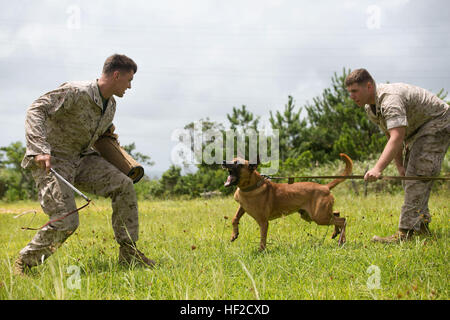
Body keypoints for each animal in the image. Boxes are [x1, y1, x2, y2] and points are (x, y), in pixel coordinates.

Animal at [223, 154, 354, 251]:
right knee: (337, 213)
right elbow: (234, 218)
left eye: (238, 164)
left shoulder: (263, 222)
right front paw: (234, 234)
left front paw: (261, 251)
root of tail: (325, 187)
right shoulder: (242, 207)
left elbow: (263, 238)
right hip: (312, 215)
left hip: (319, 217)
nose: (223, 161)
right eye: (232, 159)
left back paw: (342, 240)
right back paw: (336, 233)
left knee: (343, 220)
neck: (251, 186)